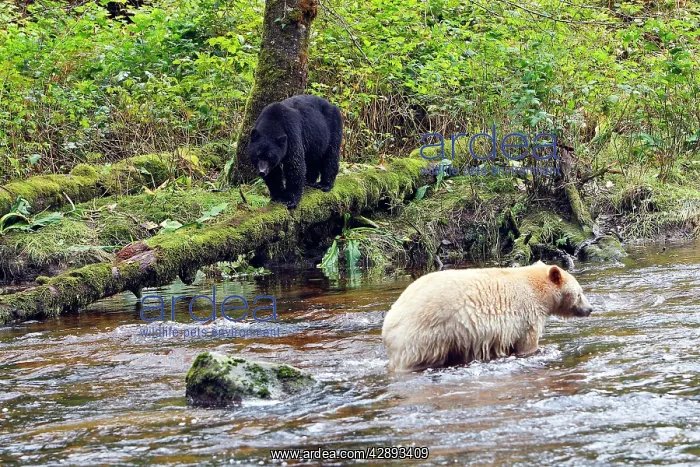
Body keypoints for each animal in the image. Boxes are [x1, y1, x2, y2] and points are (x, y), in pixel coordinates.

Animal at [381, 261, 593, 372]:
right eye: (580, 293)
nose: (590, 309)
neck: (538, 290)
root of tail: (388, 326)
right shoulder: (527, 315)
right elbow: (527, 344)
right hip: (425, 336)